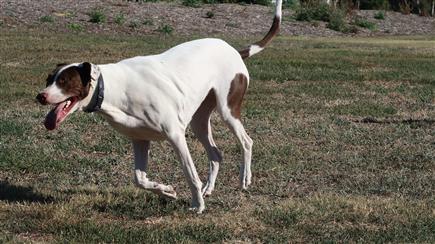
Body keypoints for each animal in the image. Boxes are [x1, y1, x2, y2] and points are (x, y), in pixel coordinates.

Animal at [37, 0, 282, 214]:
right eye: (49, 79)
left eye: (64, 81)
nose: (41, 96)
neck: (114, 88)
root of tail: (234, 51)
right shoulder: (139, 139)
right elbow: (140, 179)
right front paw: (167, 191)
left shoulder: (175, 135)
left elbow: (190, 174)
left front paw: (197, 205)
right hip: (199, 122)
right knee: (216, 154)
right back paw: (209, 188)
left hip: (227, 110)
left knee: (246, 142)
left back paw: (244, 179)